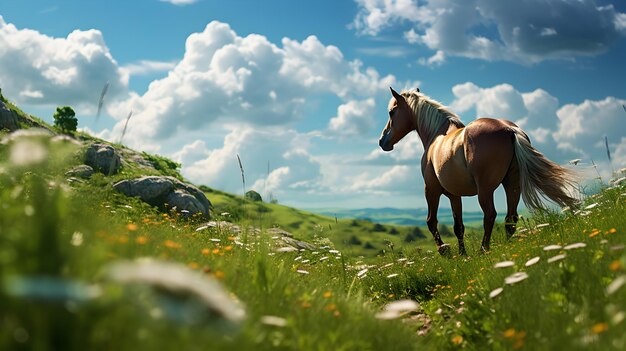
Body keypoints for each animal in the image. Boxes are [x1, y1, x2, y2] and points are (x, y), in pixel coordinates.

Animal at [376, 86, 576, 254]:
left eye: (391, 112)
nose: (382, 141)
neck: (436, 136)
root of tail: (509, 129)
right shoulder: (454, 195)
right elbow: (458, 227)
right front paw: (462, 255)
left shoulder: (431, 190)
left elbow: (431, 222)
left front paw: (445, 251)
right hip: (512, 185)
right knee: (510, 218)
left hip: (485, 190)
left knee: (490, 215)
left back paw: (483, 250)